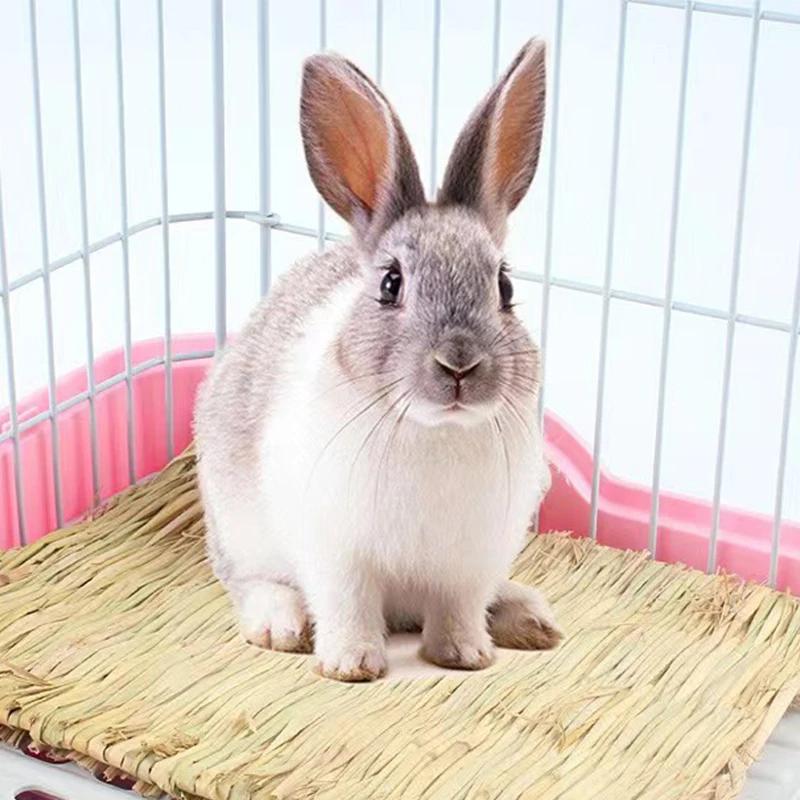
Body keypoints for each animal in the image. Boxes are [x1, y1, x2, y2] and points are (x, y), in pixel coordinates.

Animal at [194, 37, 562, 682]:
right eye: (391, 284)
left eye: (505, 287)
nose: (458, 365)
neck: (435, 430)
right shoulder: (337, 554)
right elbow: (347, 605)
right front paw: (351, 664)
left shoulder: (469, 562)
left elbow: (459, 609)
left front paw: (465, 655)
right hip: (240, 532)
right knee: (252, 583)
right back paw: (280, 625)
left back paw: (530, 620)